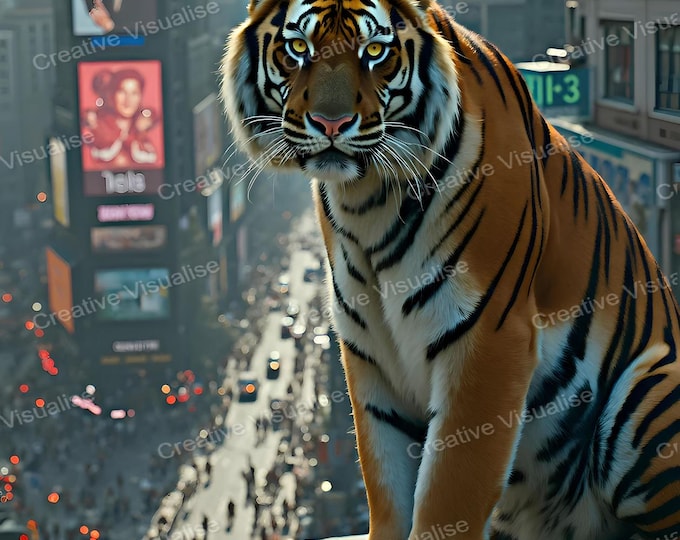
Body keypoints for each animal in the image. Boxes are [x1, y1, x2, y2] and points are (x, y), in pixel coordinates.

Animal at [219, 0, 680, 538]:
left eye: (374, 51)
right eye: (298, 48)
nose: (331, 124)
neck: (367, 202)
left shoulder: (488, 339)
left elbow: (449, 494)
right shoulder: (369, 349)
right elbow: (385, 481)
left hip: (645, 394)